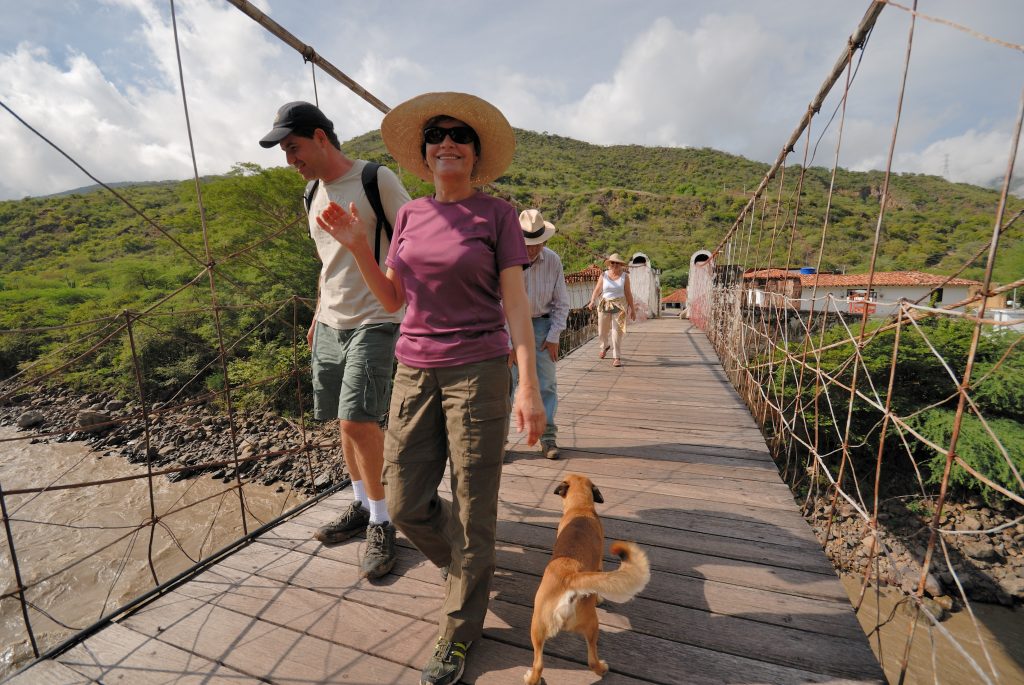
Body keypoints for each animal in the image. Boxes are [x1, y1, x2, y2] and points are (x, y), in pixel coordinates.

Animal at [528, 473, 647, 679]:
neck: (580, 507)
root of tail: (570, 577)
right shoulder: (599, 565)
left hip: (537, 627)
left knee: (538, 665)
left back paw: (531, 678)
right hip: (592, 625)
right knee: (592, 660)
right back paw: (602, 668)